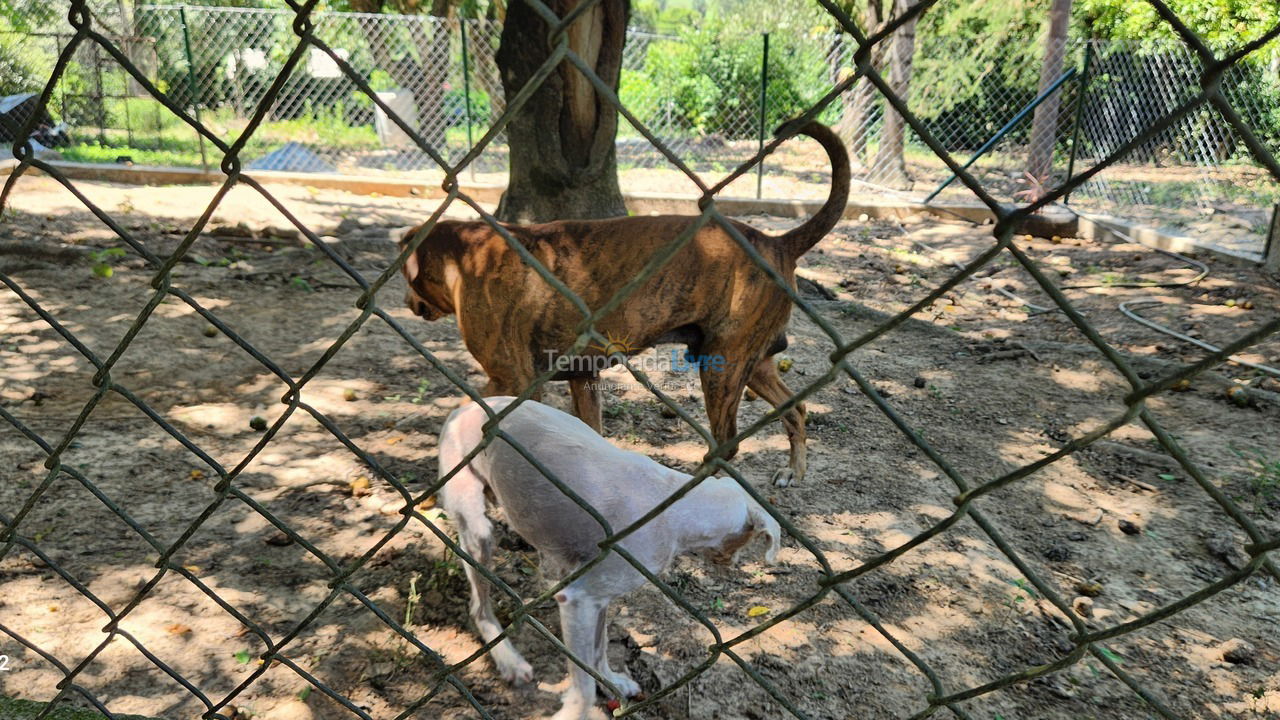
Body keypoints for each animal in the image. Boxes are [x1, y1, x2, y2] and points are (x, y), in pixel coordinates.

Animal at [401, 120, 849, 484]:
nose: (405, 302)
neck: (464, 253)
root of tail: (778, 242)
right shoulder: (582, 379)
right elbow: (591, 432)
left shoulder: (511, 381)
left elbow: (468, 415)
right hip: (752, 365)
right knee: (797, 410)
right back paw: (793, 472)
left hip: (722, 370)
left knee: (729, 443)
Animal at [440, 397, 778, 717]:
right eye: (748, 538)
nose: (732, 565)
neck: (676, 506)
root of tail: (465, 408)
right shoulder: (578, 600)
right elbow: (584, 687)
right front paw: (574, 712)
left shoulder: (598, 598)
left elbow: (599, 649)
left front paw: (611, 681)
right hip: (477, 532)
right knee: (479, 609)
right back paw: (509, 660)